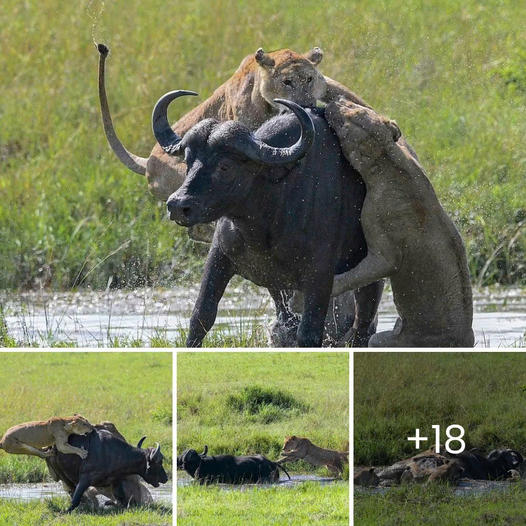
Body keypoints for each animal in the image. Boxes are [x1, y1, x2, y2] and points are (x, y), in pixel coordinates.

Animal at [153, 90, 384, 348]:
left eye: (225, 166)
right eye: (188, 161)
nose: (177, 205)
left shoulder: (320, 276)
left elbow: (310, 332)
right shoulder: (219, 257)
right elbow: (201, 316)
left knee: (363, 322)